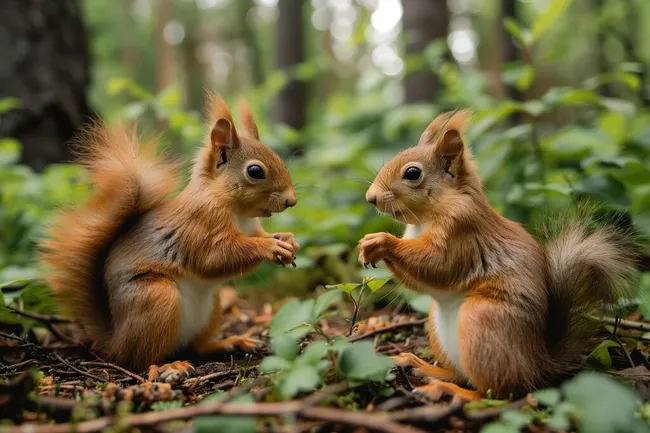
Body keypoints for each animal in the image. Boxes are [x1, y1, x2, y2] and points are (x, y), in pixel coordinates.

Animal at [39, 93, 299, 380]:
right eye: (255, 171)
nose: (292, 200)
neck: (235, 209)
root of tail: (115, 342)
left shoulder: (252, 228)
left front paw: (287, 239)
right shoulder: (200, 225)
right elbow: (213, 259)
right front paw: (269, 246)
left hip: (212, 305)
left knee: (197, 347)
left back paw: (232, 342)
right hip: (155, 298)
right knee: (141, 361)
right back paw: (167, 366)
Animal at [358, 110, 638, 401]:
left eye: (412, 173)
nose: (370, 198)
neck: (429, 214)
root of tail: (537, 364)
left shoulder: (462, 231)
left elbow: (437, 265)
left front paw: (381, 241)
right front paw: (368, 246)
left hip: (481, 324)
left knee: (494, 392)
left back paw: (449, 390)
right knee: (459, 374)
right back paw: (421, 366)